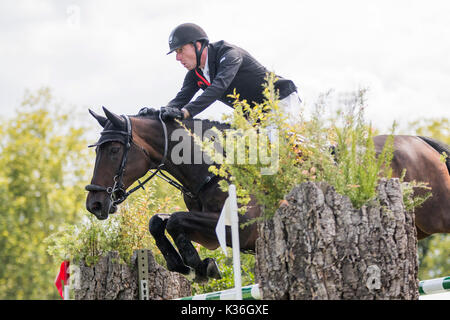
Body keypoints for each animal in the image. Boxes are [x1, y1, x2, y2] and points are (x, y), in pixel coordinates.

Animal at [85, 107, 450, 282]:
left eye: (114, 149)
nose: (95, 203)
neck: (211, 165)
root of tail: (420, 141)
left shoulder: (243, 228)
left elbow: (174, 220)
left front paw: (198, 267)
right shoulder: (214, 234)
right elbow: (159, 222)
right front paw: (189, 265)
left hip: (438, 214)